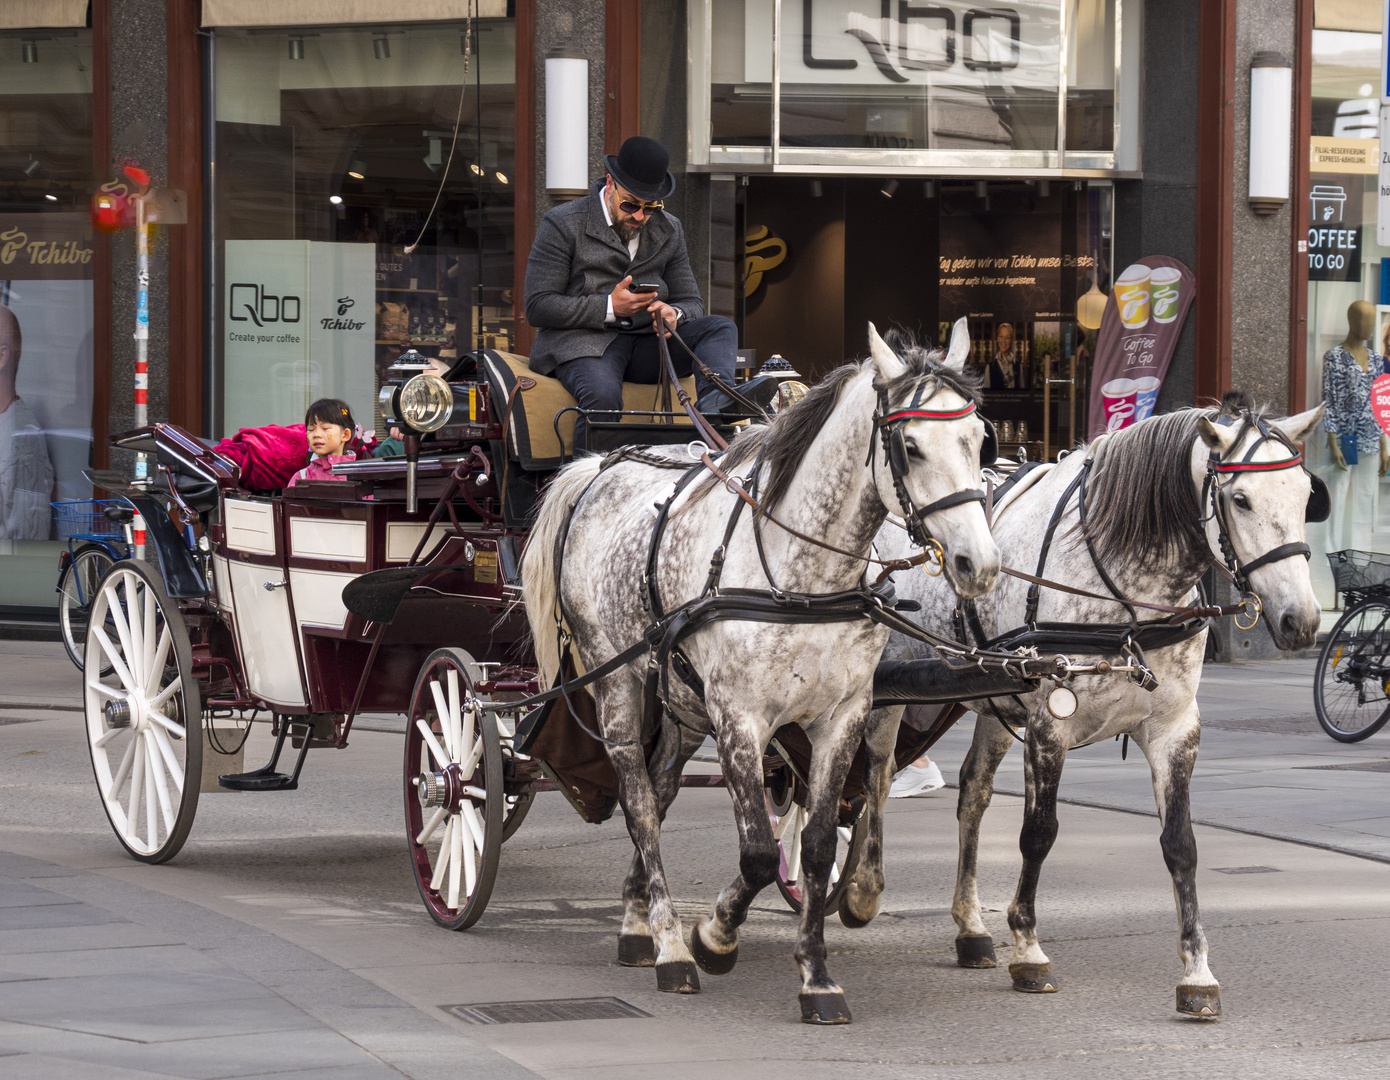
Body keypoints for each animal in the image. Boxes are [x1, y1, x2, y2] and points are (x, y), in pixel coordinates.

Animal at [522, 318, 1000, 1017]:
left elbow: (820, 846)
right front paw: (713, 937)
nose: (978, 563)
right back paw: (668, 944)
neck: (801, 578)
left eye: (978, 439)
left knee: (660, 792)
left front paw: (817, 976)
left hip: (680, 701)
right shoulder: (740, 719)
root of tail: (601, 466)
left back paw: (639, 921)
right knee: (639, 802)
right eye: (909, 446)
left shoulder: (842, 716)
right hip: (618, 684)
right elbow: (755, 852)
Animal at [845, 400, 1323, 1017]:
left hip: (996, 700)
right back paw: (863, 887)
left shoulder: (1174, 730)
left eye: (1305, 494)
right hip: (886, 693)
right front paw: (1028, 948)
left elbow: (1181, 846)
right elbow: (1038, 833)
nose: (1302, 621)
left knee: (973, 795)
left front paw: (1196, 972)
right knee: (876, 777)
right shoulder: (1052, 722)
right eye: (1240, 499)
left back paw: (970, 926)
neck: (1127, 600)